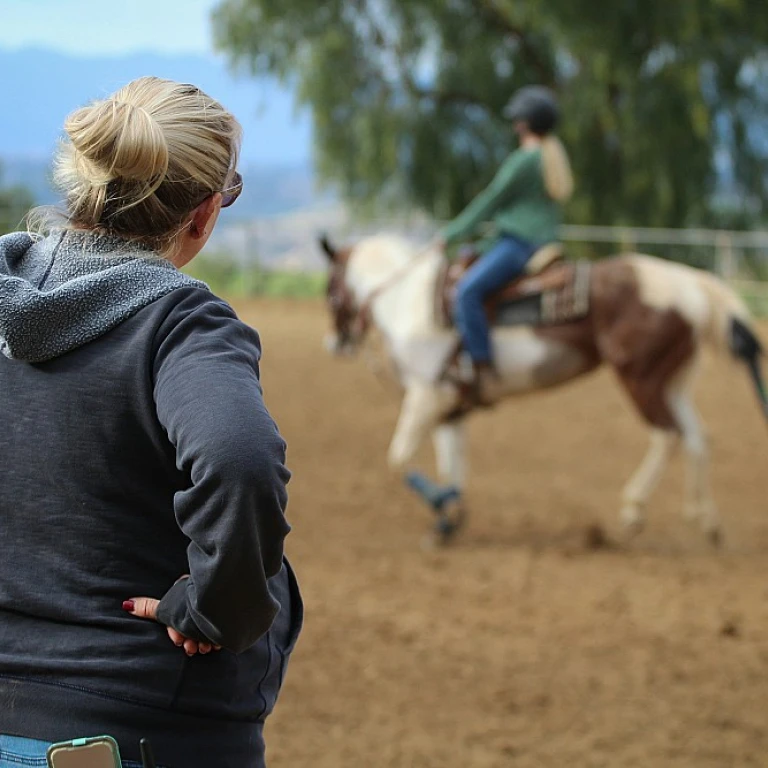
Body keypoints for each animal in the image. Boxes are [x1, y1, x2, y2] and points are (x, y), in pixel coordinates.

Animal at [316, 234, 760, 544]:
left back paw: (634, 511)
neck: (407, 300)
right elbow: (452, 464)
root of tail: (691, 284)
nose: (335, 344)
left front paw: (444, 508)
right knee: (698, 438)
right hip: (673, 382)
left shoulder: (426, 394)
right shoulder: (451, 405)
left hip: (641, 379)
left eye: (329, 290)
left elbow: (400, 458)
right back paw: (706, 521)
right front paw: (449, 520)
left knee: (668, 435)